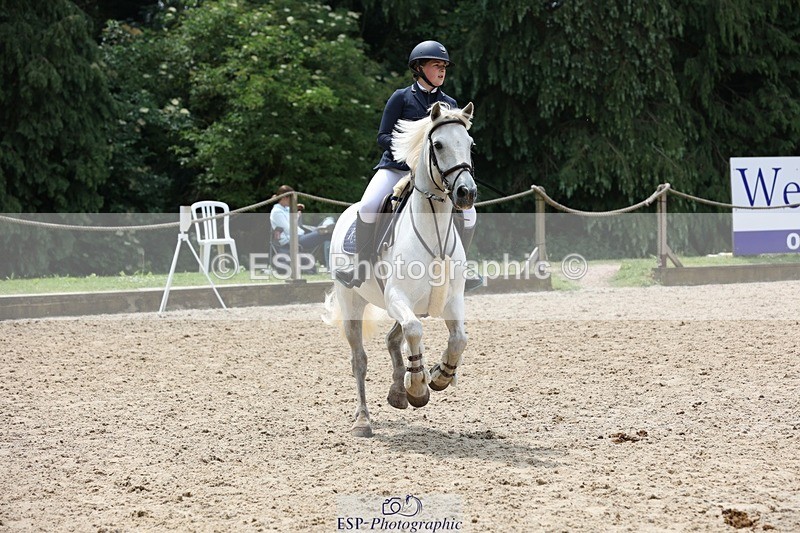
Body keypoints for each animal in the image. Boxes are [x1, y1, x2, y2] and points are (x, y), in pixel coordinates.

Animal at [324, 102, 477, 437]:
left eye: (470, 144)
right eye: (438, 145)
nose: (466, 193)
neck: (434, 233)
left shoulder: (452, 301)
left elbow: (459, 339)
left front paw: (440, 375)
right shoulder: (397, 297)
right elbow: (415, 332)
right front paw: (418, 386)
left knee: (393, 338)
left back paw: (397, 392)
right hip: (352, 302)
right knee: (360, 359)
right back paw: (363, 420)